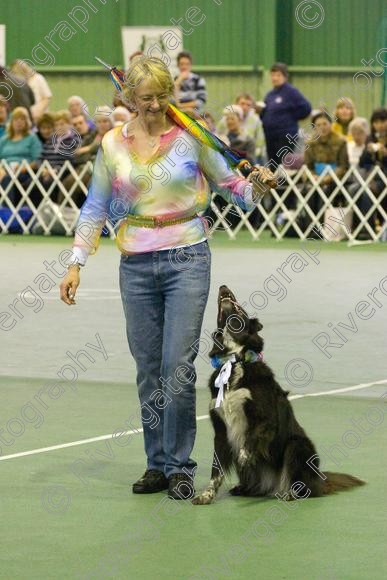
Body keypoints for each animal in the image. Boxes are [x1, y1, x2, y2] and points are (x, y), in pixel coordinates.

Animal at [194, 286, 366, 502]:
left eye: (240, 310)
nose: (223, 287)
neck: (235, 361)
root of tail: (320, 480)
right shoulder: (221, 432)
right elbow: (216, 471)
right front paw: (206, 495)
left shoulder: (266, 418)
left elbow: (250, 438)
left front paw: (244, 455)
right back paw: (245, 488)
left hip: (297, 445)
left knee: (302, 486)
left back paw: (290, 493)